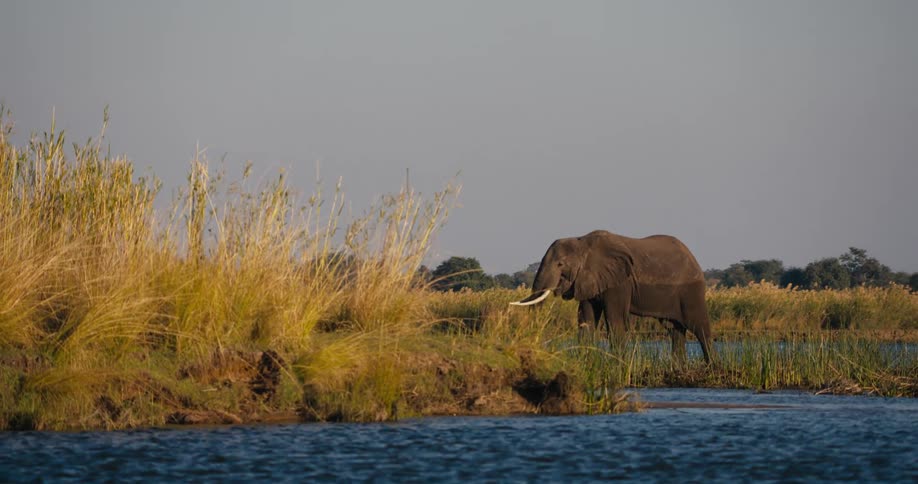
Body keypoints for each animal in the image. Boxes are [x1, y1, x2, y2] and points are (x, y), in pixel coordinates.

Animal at [510, 230, 714, 363]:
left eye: (560, 264)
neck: (583, 243)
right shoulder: (588, 279)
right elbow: (586, 319)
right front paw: (586, 362)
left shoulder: (620, 282)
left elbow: (615, 320)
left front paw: (618, 366)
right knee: (674, 330)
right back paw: (679, 368)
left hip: (691, 291)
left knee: (699, 326)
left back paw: (711, 366)